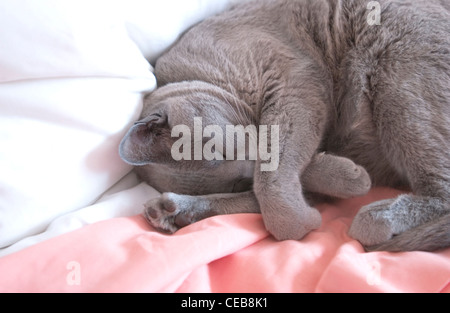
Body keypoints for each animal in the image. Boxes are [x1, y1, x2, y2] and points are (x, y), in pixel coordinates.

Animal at [119, 0, 450, 250]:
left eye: (222, 150)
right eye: (236, 181)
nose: (248, 167)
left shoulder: (293, 85)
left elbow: (274, 170)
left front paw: (303, 219)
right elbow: (267, 185)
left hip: (399, 77)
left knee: (443, 193)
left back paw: (376, 219)